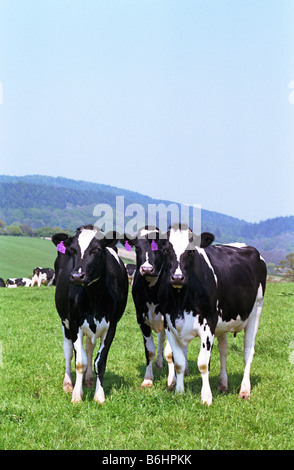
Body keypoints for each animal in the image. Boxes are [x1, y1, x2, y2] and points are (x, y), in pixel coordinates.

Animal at [52, 225, 128, 404]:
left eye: (97, 249)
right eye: (72, 250)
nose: (77, 276)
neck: (94, 296)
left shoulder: (112, 325)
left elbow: (99, 362)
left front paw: (99, 396)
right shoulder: (74, 322)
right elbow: (80, 361)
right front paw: (76, 395)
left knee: (89, 348)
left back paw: (88, 380)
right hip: (64, 322)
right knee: (68, 351)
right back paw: (68, 383)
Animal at [157, 226, 268, 406]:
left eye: (191, 251)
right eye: (165, 250)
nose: (178, 277)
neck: (181, 300)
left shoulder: (207, 325)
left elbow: (203, 364)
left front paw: (206, 397)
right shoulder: (169, 325)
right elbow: (178, 361)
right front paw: (179, 392)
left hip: (255, 312)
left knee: (248, 352)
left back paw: (244, 390)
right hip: (222, 324)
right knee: (224, 351)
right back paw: (223, 384)